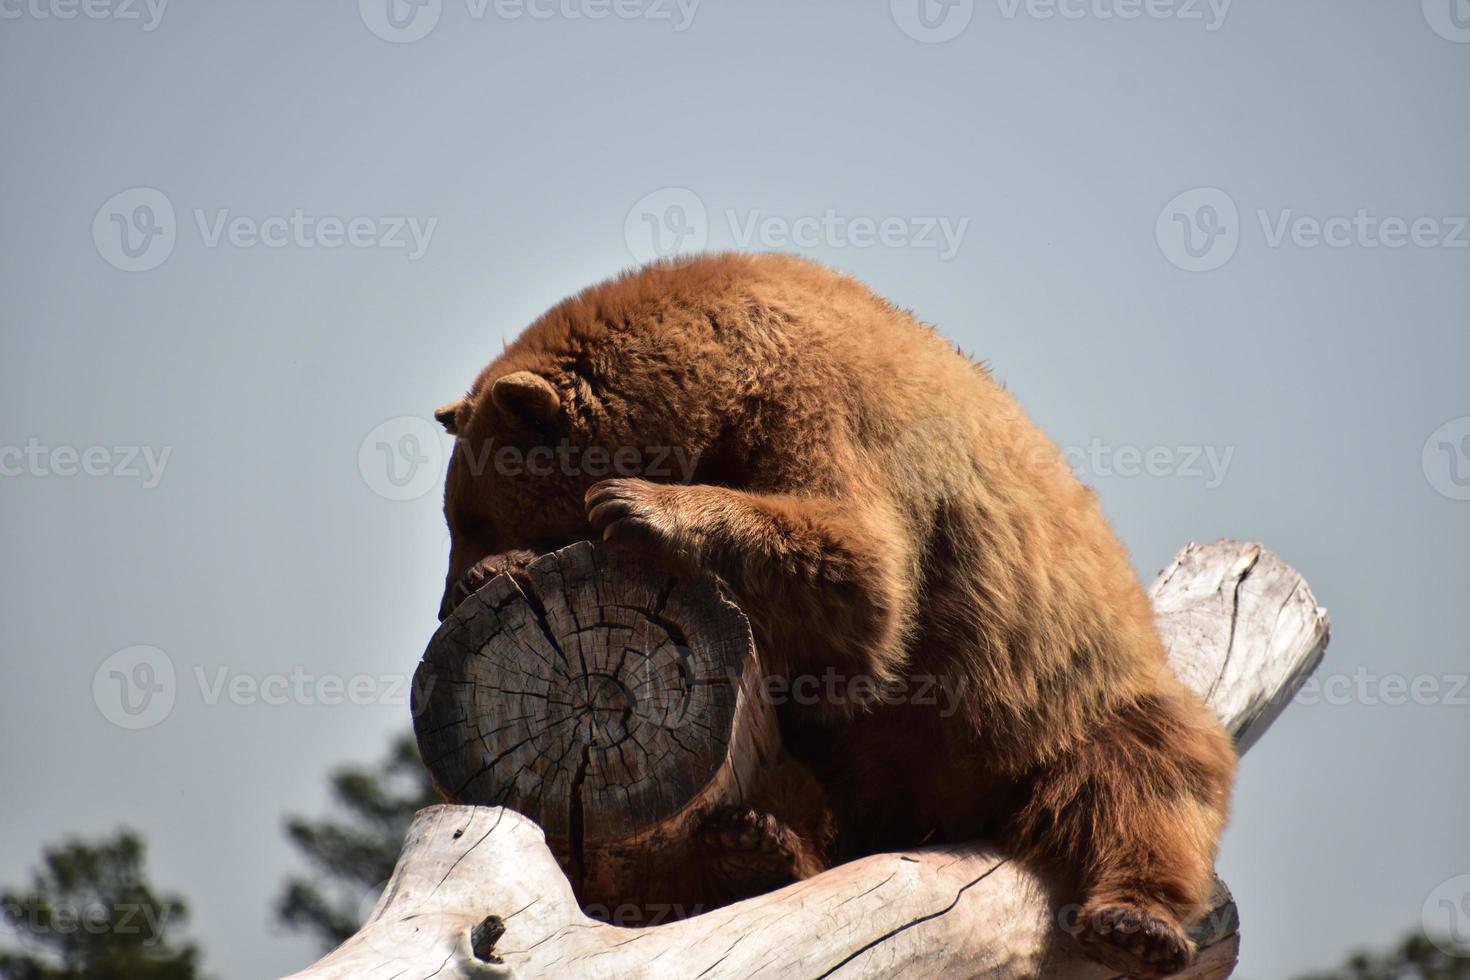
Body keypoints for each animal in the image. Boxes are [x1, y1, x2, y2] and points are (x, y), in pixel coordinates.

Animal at [429, 255, 1234, 980]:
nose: (443, 596)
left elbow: (856, 568)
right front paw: (494, 572)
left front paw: (635, 503)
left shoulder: (819, 412)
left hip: (1061, 697)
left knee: (1145, 778)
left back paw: (1137, 922)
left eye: (468, 514)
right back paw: (756, 847)